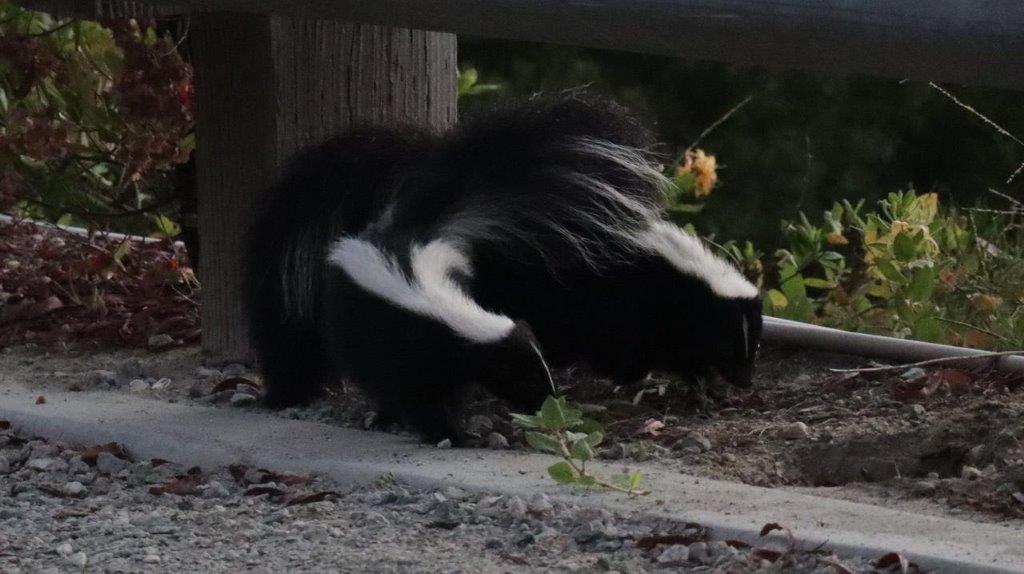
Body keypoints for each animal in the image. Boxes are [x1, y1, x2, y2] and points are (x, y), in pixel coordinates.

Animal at [243, 95, 765, 444]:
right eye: (732, 341)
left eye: (754, 344)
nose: (746, 382)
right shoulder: (625, 300)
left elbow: (679, 351)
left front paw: (701, 386)